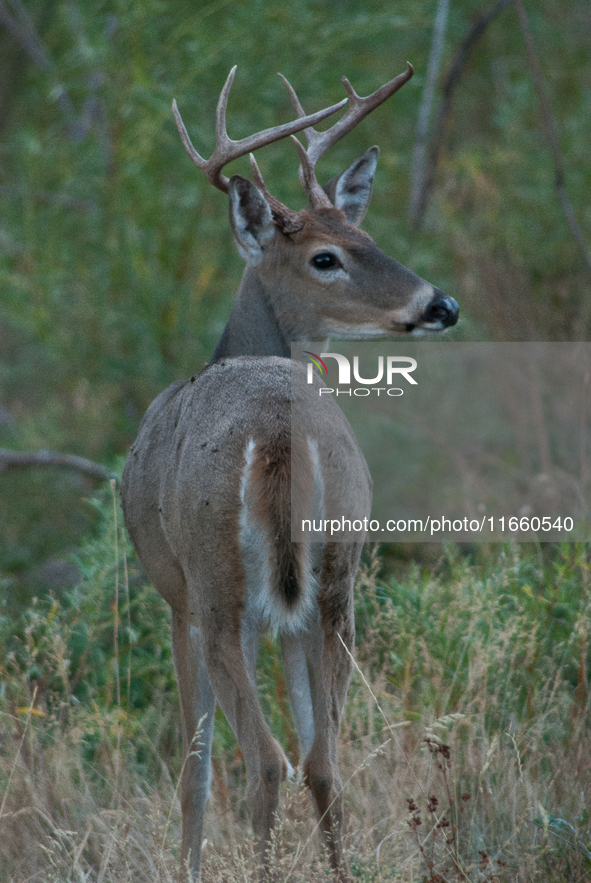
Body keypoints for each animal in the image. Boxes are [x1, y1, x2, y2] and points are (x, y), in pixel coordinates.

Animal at [120, 65, 458, 880]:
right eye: (327, 255)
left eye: (365, 237)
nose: (442, 304)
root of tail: (278, 426)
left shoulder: (176, 594)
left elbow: (195, 766)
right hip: (337, 579)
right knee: (321, 760)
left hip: (218, 583)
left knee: (263, 759)